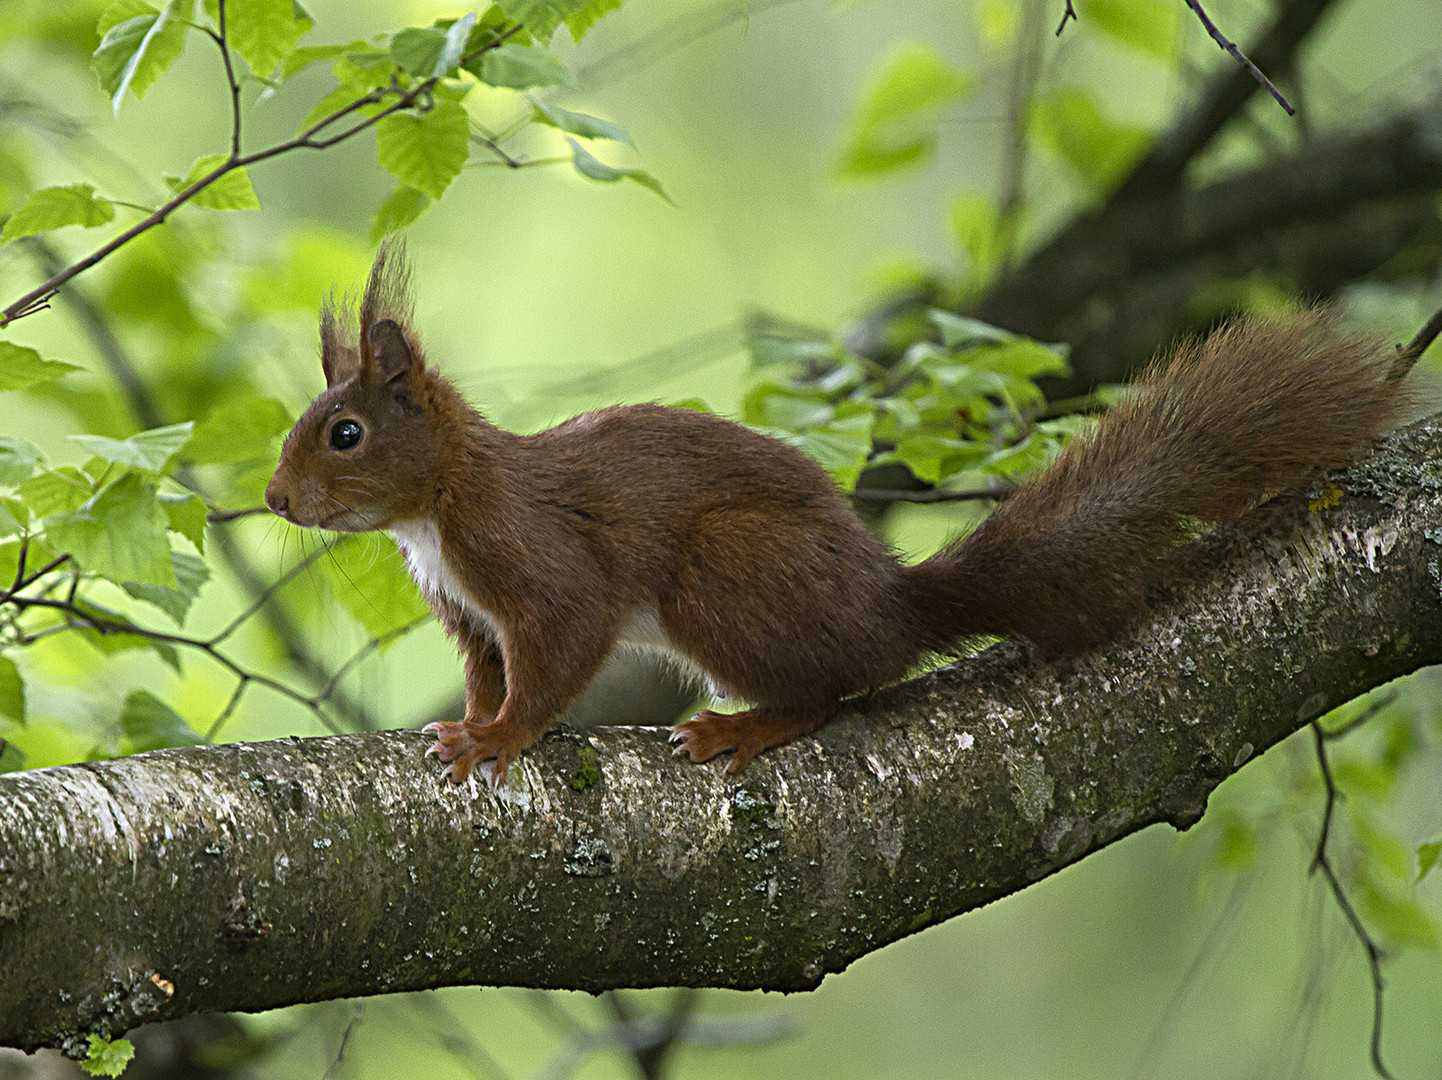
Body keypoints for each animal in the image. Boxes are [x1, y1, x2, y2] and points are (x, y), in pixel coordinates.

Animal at [262, 242, 1418, 784]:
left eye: (345, 433)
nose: (272, 499)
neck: (438, 503)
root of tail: (889, 604)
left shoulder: (534, 558)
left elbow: (559, 648)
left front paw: (501, 738)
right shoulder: (466, 612)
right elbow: (487, 665)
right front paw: (469, 722)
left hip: (721, 571)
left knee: (831, 689)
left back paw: (746, 723)